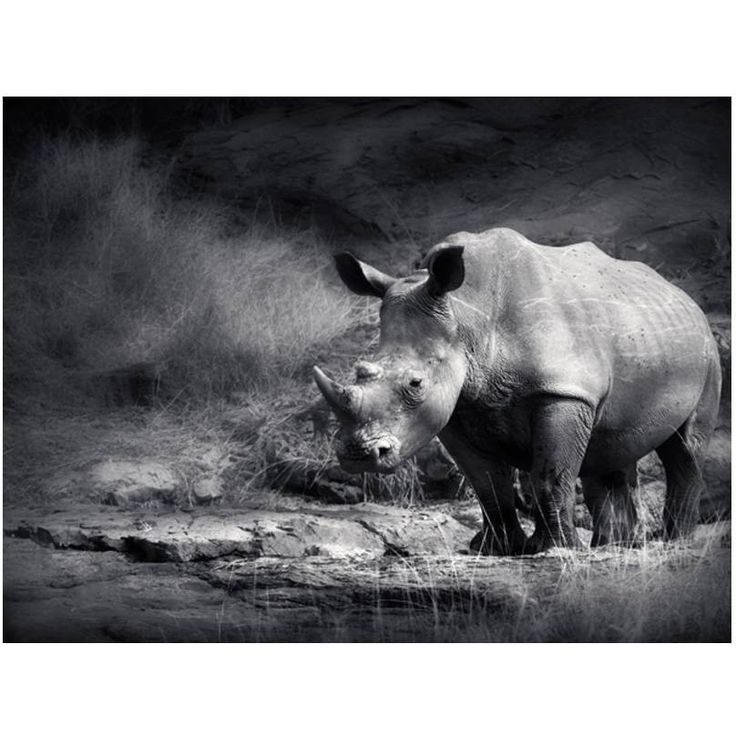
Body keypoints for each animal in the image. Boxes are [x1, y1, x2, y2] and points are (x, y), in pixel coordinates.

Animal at [313, 228, 721, 554]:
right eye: (360, 371)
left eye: (416, 384)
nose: (358, 455)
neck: (467, 315)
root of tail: (681, 295)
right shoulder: (458, 408)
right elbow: (488, 486)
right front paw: (496, 550)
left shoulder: (562, 391)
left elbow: (549, 476)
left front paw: (557, 550)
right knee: (610, 448)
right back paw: (615, 546)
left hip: (705, 350)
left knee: (683, 449)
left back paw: (673, 542)